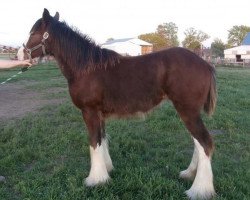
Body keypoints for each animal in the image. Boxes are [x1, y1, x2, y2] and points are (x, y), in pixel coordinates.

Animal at [18, 8, 217, 199]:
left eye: (33, 32)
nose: (20, 54)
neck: (85, 68)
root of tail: (206, 64)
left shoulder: (89, 111)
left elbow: (93, 142)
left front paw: (95, 180)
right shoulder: (98, 113)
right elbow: (102, 139)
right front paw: (106, 171)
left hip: (187, 111)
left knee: (205, 142)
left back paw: (199, 190)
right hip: (189, 111)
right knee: (198, 143)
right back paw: (189, 174)